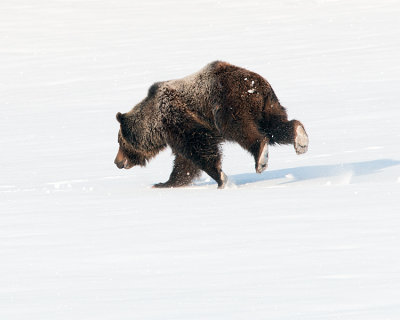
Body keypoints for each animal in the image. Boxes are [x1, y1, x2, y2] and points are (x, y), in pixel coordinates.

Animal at [114, 61, 308, 189]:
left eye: (120, 142)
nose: (117, 162)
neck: (156, 124)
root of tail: (256, 84)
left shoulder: (179, 120)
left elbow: (199, 149)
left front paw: (221, 178)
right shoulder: (176, 132)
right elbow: (184, 162)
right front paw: (166, 183)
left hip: (228, 103)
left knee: (243, 129)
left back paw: (260, 157)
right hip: (267, 106)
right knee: (275, 128)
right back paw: (300, 139)